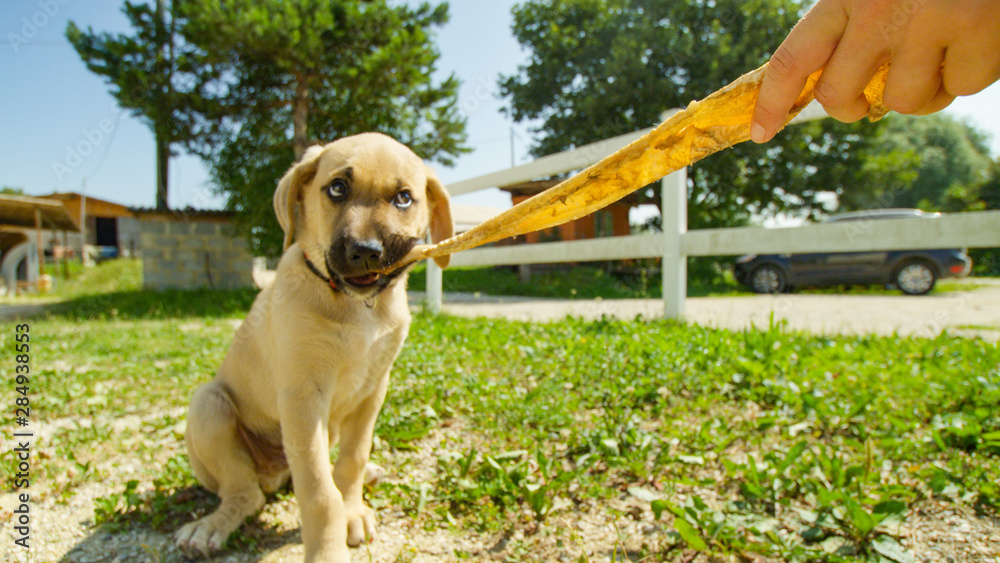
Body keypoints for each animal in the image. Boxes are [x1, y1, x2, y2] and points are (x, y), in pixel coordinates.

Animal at [174, 134, 452, 560]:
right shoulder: (304, 397)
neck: (357, 306)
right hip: (209, 406)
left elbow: (352, 458)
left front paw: (353, 507)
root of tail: (276, 471)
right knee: (245, 493)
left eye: (404, 198)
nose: (365, 251)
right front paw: (327, 549)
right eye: (337, 188)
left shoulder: (373, 390)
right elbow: (320, 491)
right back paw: (211, 527)